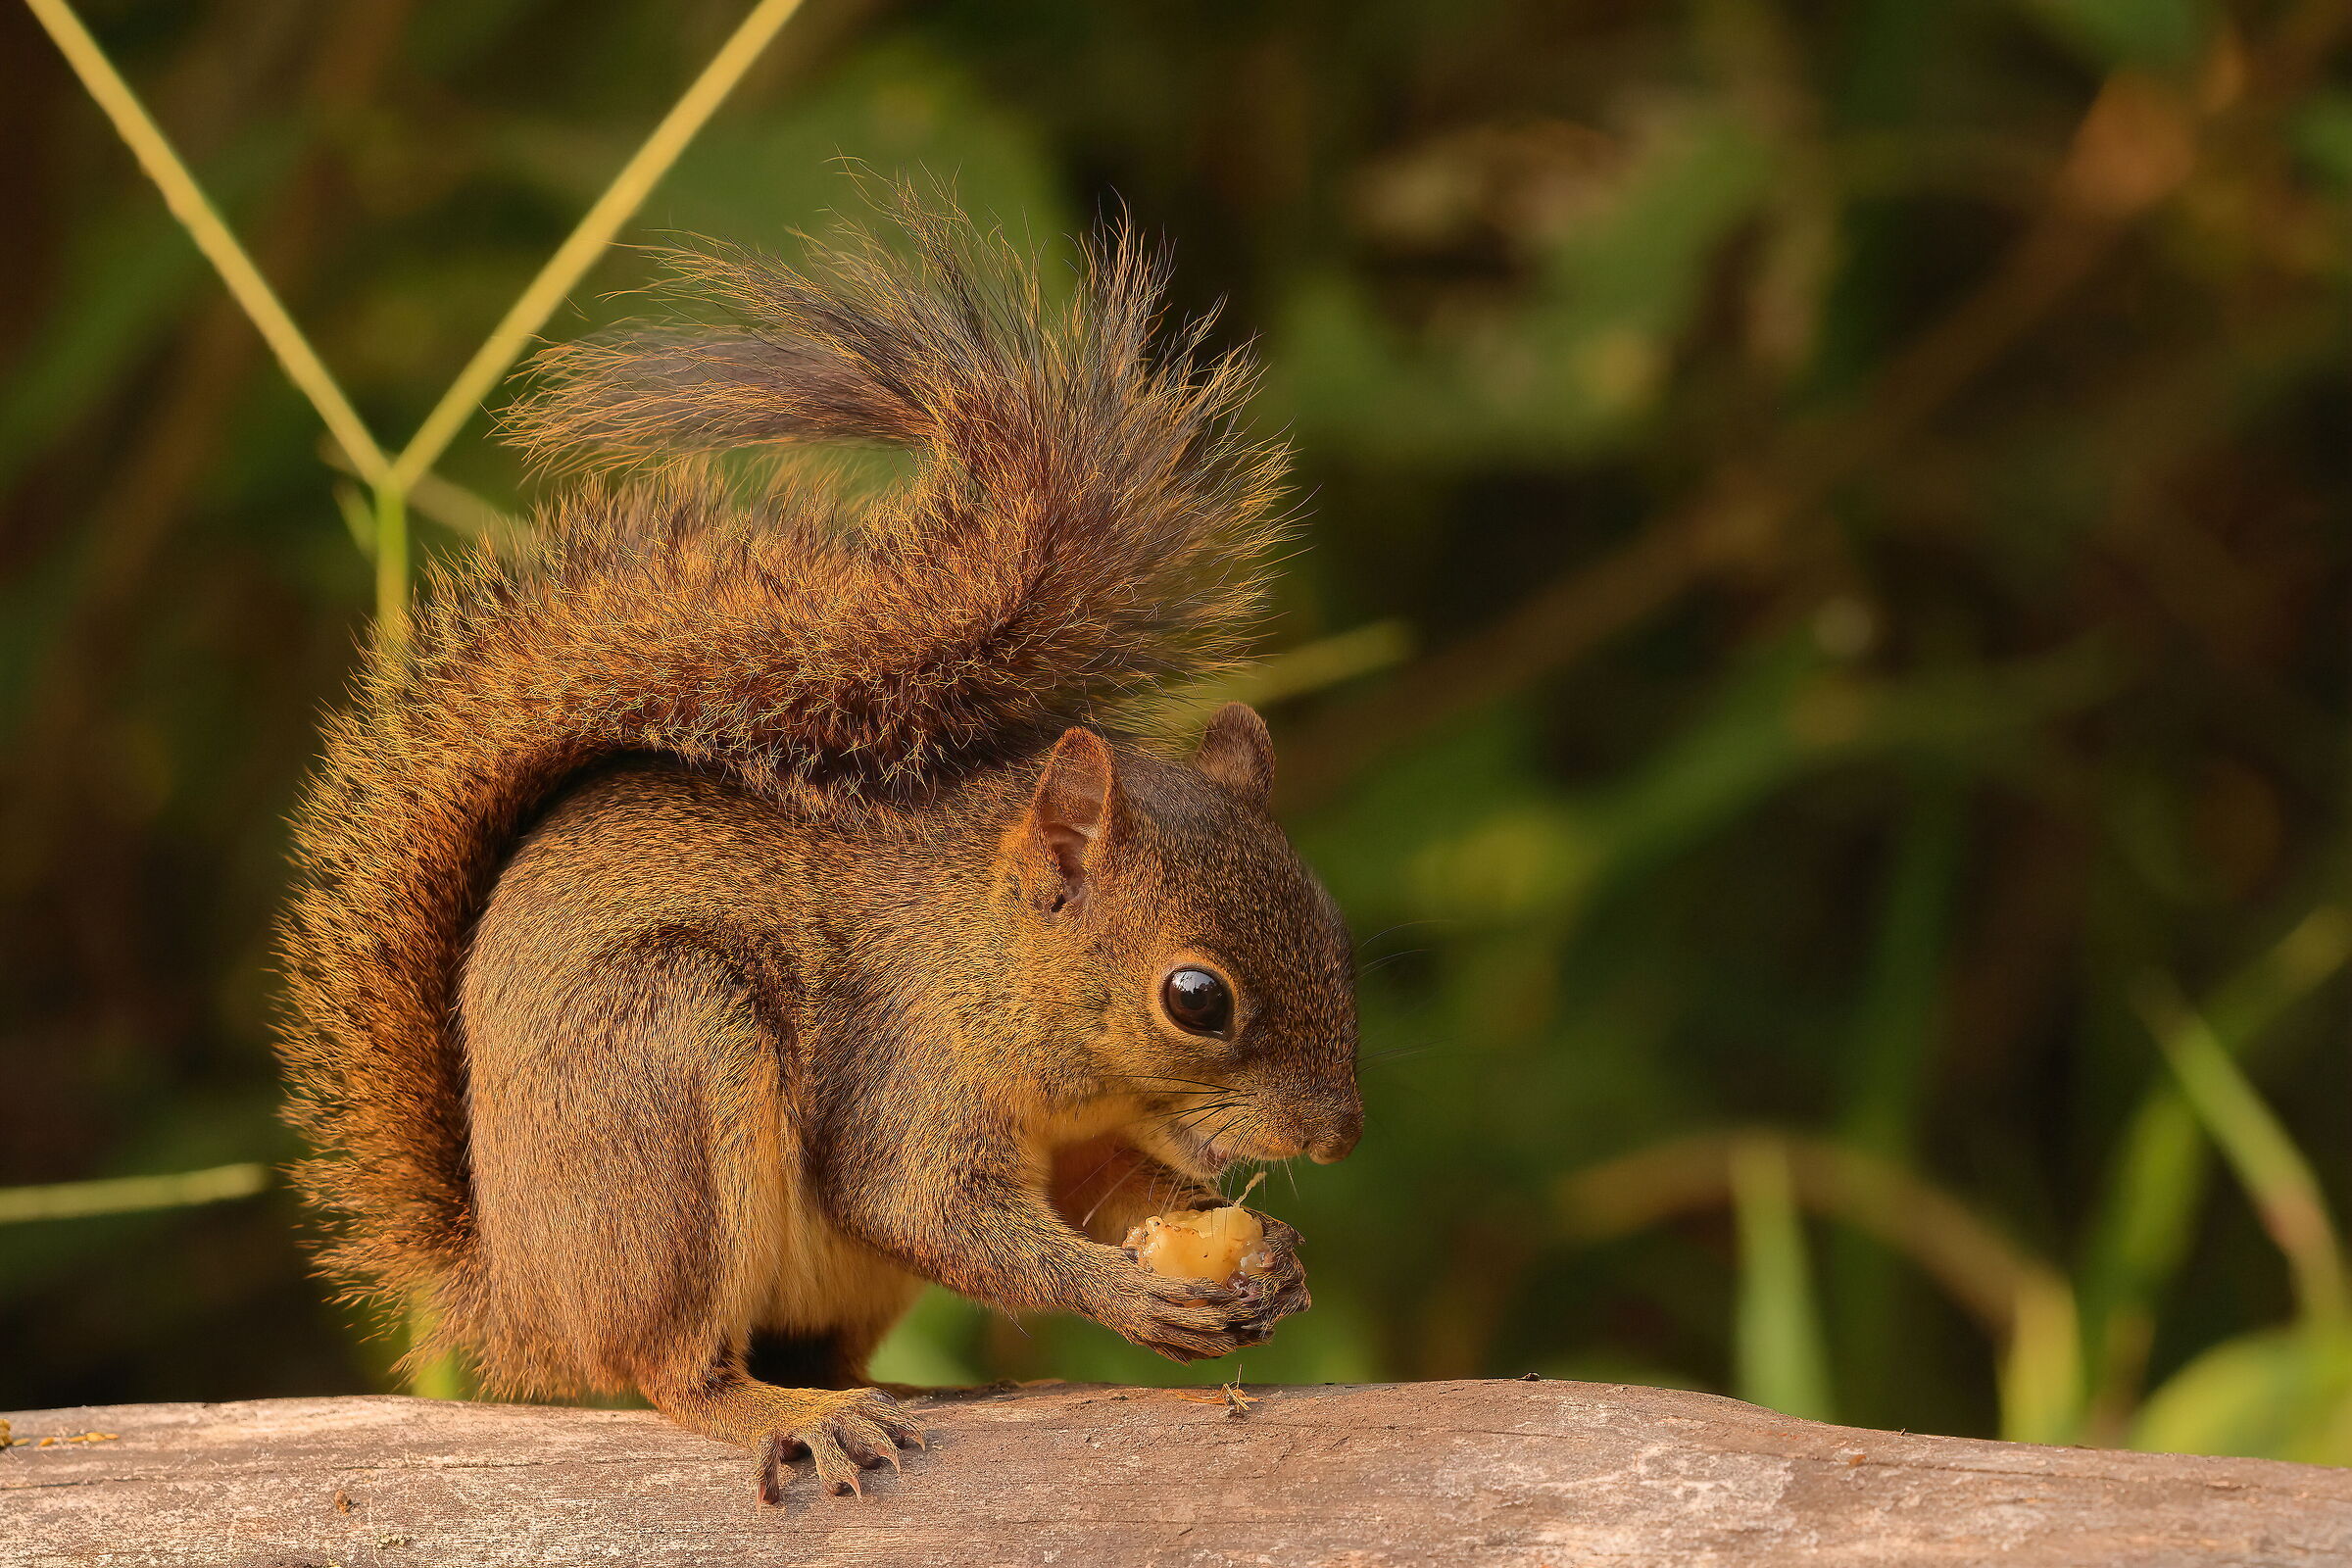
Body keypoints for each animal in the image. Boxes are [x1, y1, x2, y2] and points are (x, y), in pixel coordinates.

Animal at [275, 200, 1363, 1507]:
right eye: (1195, 998)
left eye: (1335, 930)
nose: (1338, 1133)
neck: (990, 962)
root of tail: (523, 1298)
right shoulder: (909, 1067)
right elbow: (921, 1202)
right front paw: (1125, 1290)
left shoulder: (1088, 1137)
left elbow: (1099, 1192)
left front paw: (1275, 1261)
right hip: (668, 1066)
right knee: (674, 1365)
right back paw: (793, 1415)